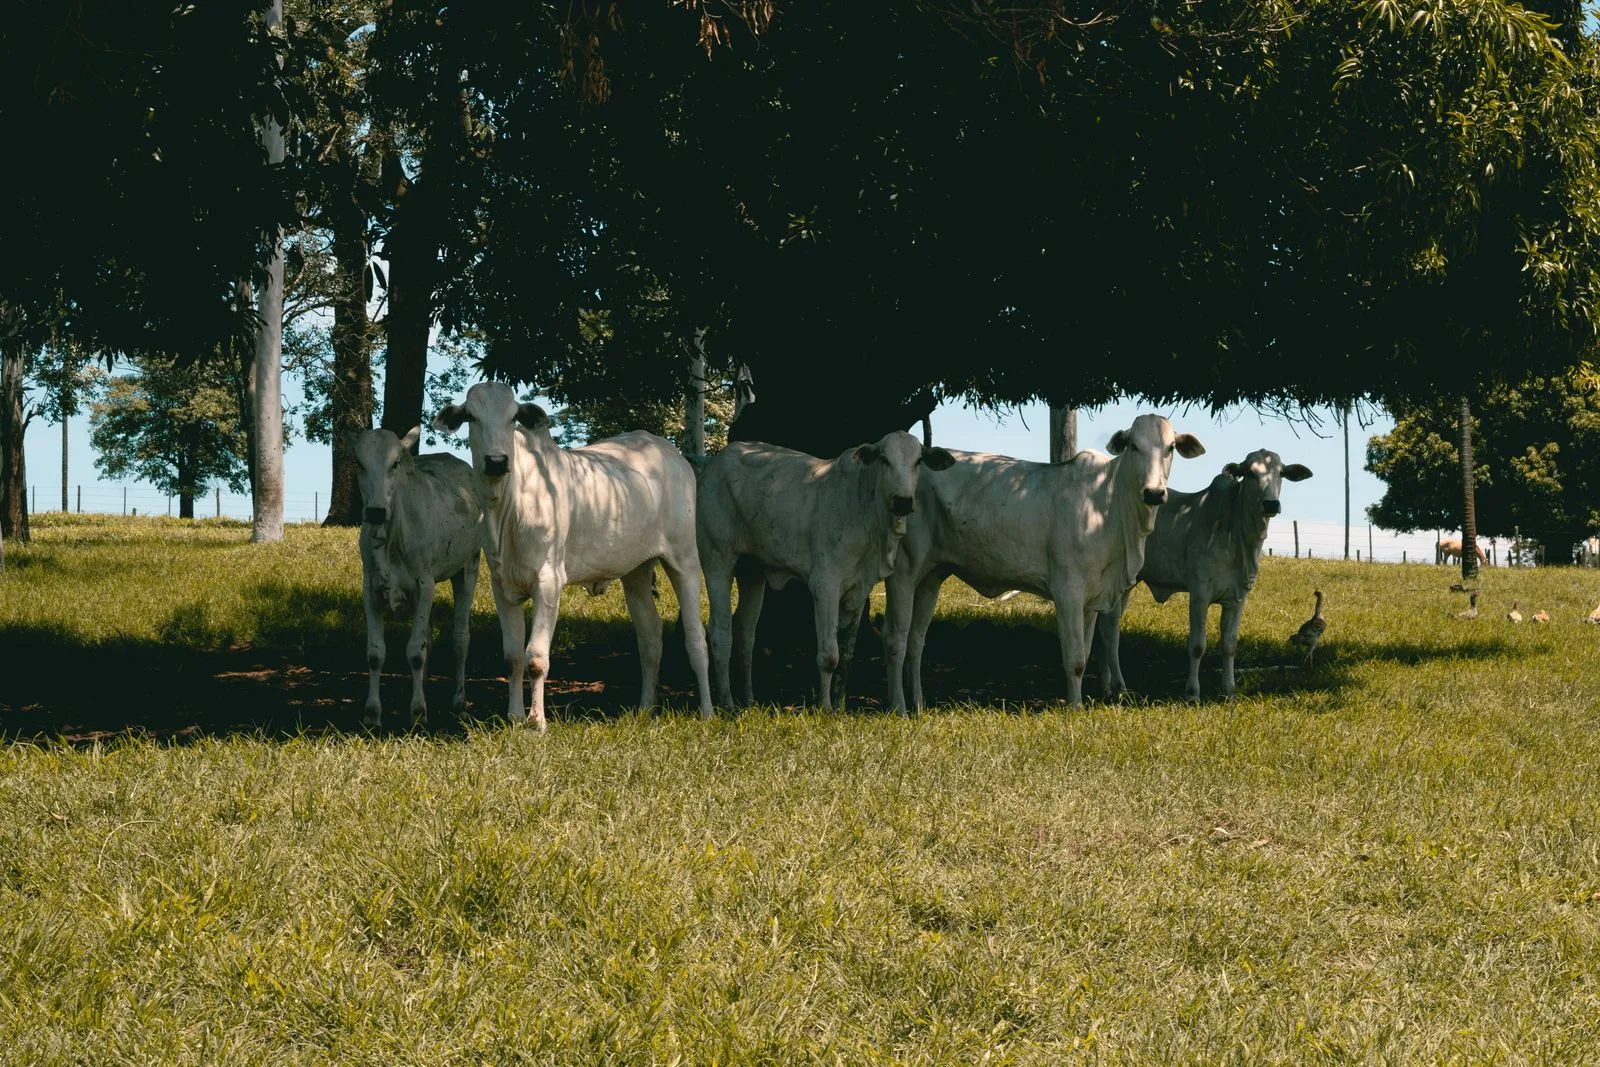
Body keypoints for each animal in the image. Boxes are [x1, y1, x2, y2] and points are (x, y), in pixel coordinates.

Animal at [351, 427, 482, 728]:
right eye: (360, 464)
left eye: (395, 463)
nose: (375, 511)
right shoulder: (370, 588)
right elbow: (375, 653)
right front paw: (372, 714)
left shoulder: (424, 586)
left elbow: (415, 652)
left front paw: (418, 713)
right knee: (428, 640)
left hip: (468, 567)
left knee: (460, 639)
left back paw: (459, 701)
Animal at [433, 382, 711, 729]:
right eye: (471, 416)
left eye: (513, 418)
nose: (496, 460)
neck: (506, 511)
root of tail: (671, 454)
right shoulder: (501, 585)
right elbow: (513, 657)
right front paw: (514, 716)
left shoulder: (549, 580)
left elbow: (536, 658)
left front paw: (537, 722)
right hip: (636, 570)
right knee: (650, 636)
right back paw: (646, 708)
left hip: (684, 559)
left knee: (696, 638)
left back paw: (708, 710)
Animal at [696, 432, 955, 709]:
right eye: (884, 459)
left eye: (919, 461)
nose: (903, 502)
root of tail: (713, 466)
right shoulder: (825, 585)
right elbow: (829, 655)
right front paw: (826, 707)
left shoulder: (860, 588)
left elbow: (847, 653)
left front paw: (840, 704)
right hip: (717, 561)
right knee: (720, 632)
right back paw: (727, 702)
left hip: (752, 572)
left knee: (745, 634)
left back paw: (749, 699)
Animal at [882, 414, 1206, 710]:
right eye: (1134, 446)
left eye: (1170, 448)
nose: (1154, 493)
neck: (1109, 505)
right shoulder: (1068, 591)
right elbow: (1075, 658)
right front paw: (1075, 708)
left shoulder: (1092, 598)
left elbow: (1087, 650)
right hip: (903, 571)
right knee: (896, 639)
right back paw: (898, 706)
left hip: (931, 576)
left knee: (916, 641)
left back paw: (918, 704)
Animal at [1091, 449, 1312, 701]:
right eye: (1250, 473)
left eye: (1281, 473)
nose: (1271, 504)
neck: (1237, 535)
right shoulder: (1200, 593)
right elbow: (1198, 645)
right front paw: (1192, 693)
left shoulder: (1237, 598)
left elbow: (1229, 644)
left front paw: (1229, 691)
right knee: (1110, 630)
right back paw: (1119, 686)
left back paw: (1106, 686)